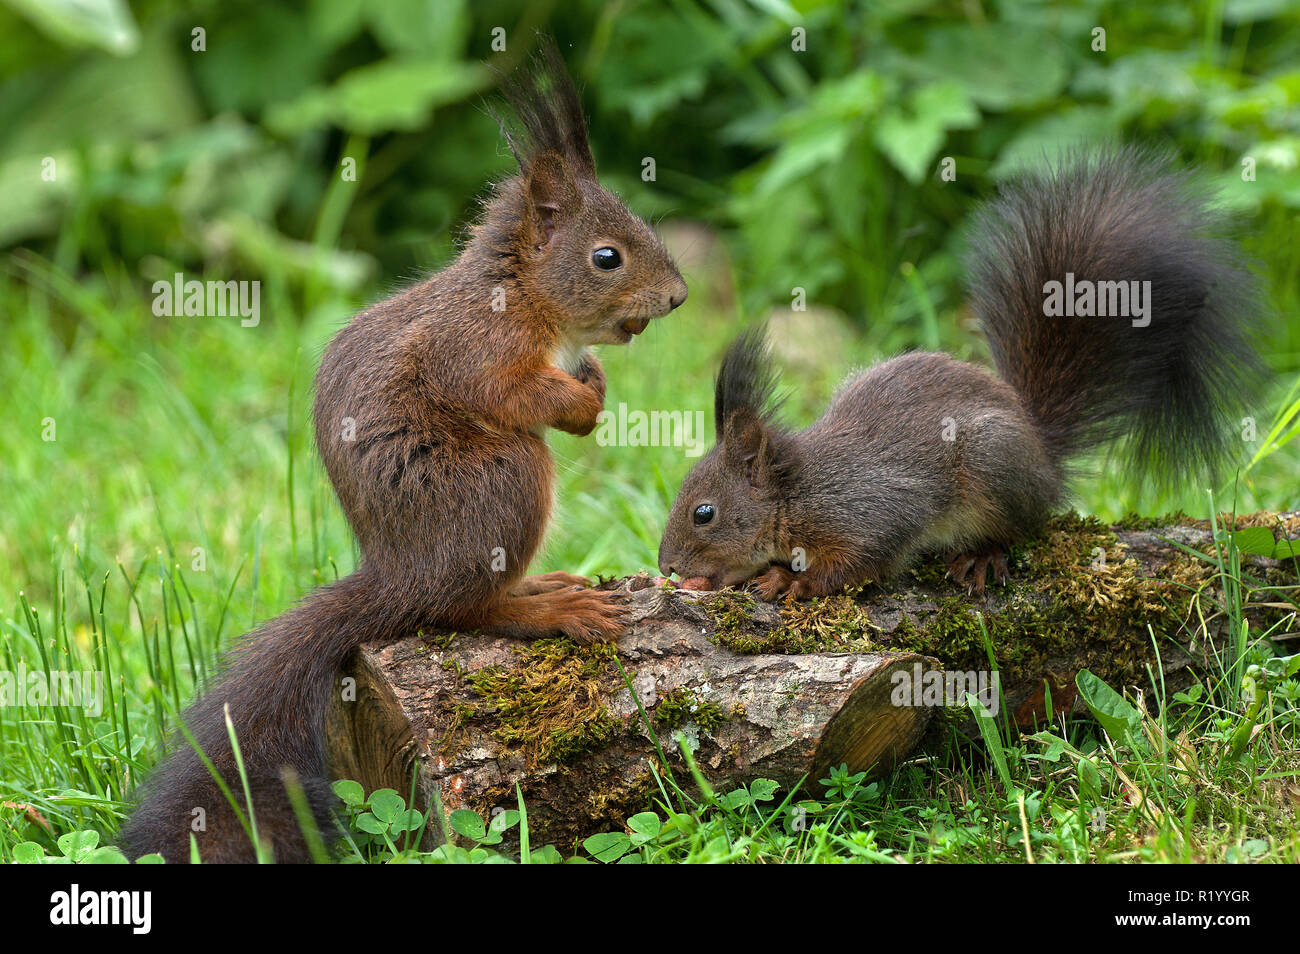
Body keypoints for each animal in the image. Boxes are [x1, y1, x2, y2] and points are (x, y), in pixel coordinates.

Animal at [122, 39, 691, 868]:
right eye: (607, 257)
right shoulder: (474, 349)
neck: (523, 296)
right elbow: (506, 394)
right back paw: (548, 607)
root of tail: (398, 572)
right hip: (505, 480)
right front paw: (582, 402)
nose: (678, 298)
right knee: (462, 609)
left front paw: (595, 384)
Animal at [660, 146, 1258, 600]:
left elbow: (859, 563)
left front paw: (790, 581)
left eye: (704, 513)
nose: (666, 566)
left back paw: (982, 556)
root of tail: (1041, 450)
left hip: (993, 462)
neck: (795, 496)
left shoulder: (871, 512)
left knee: (1021, 527)